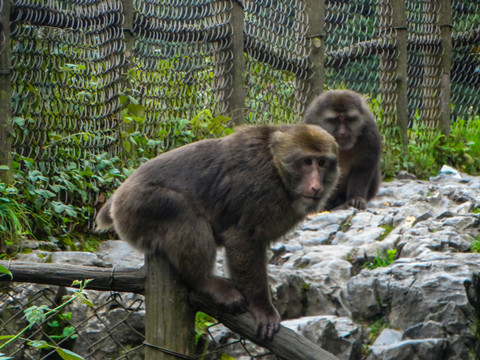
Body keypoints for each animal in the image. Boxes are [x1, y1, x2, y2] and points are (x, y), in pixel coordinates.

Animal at [95, 124, 340, 340]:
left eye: (322, 163)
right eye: (307, 162)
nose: (316, 186)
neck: (277, 169)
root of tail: (117, 197)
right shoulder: (260, 190)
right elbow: (242, 239)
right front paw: (263, 308)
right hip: (138, 207)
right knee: (182, 211)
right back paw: (205, 282)